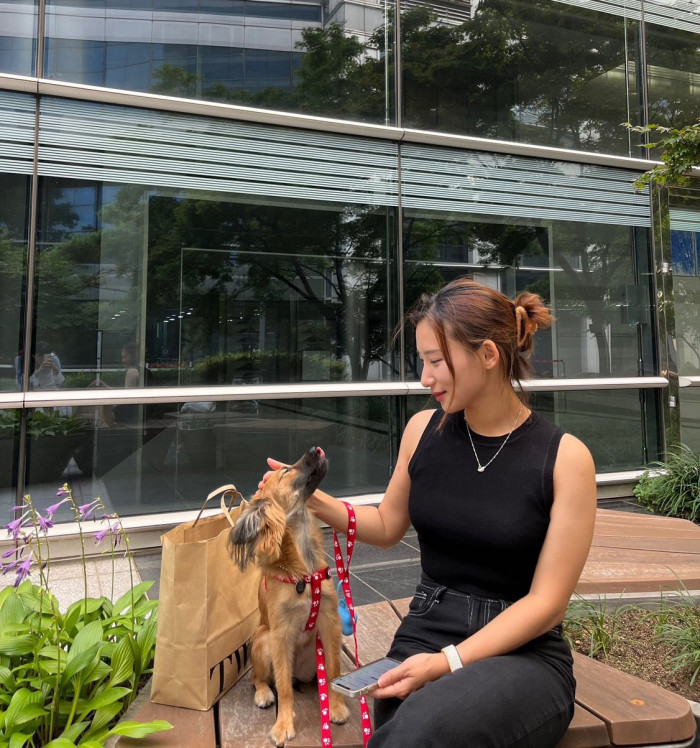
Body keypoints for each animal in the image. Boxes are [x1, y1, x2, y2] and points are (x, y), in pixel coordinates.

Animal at [230, 448, 350, 744]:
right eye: (285, 471)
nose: (316, 449)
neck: (302, 571)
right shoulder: (280, 635)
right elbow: (283, 688)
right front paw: (284, 724)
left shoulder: (329, 623)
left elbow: (333, 671)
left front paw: (336, 706)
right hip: (263, 641)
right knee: (259, 679)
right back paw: (263, 693)